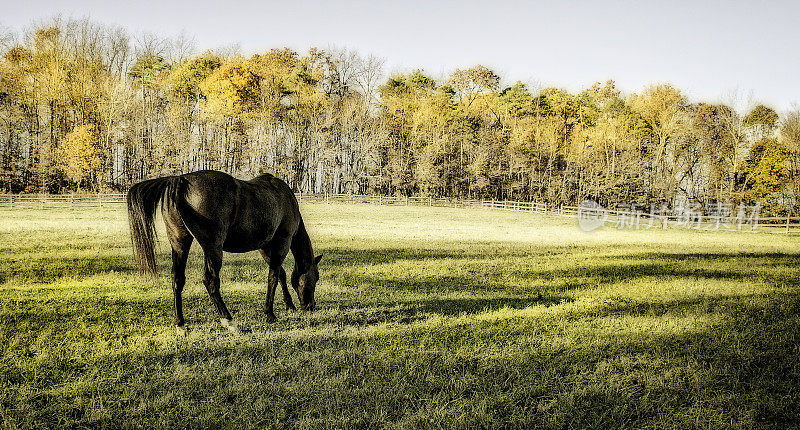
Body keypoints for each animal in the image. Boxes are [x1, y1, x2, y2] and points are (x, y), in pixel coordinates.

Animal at [126, 170, 320, 336]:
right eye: (316, 277)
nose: (310, 306)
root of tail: (180, 180)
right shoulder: (282, 242)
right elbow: (273, 276)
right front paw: (270, 314)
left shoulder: (264, 246)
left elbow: (280, 274)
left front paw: (289, 306)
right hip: (213, 247)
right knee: (210, 280)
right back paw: (228, 321)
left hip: (180, 243)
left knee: (177, 280)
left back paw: (180, 324)